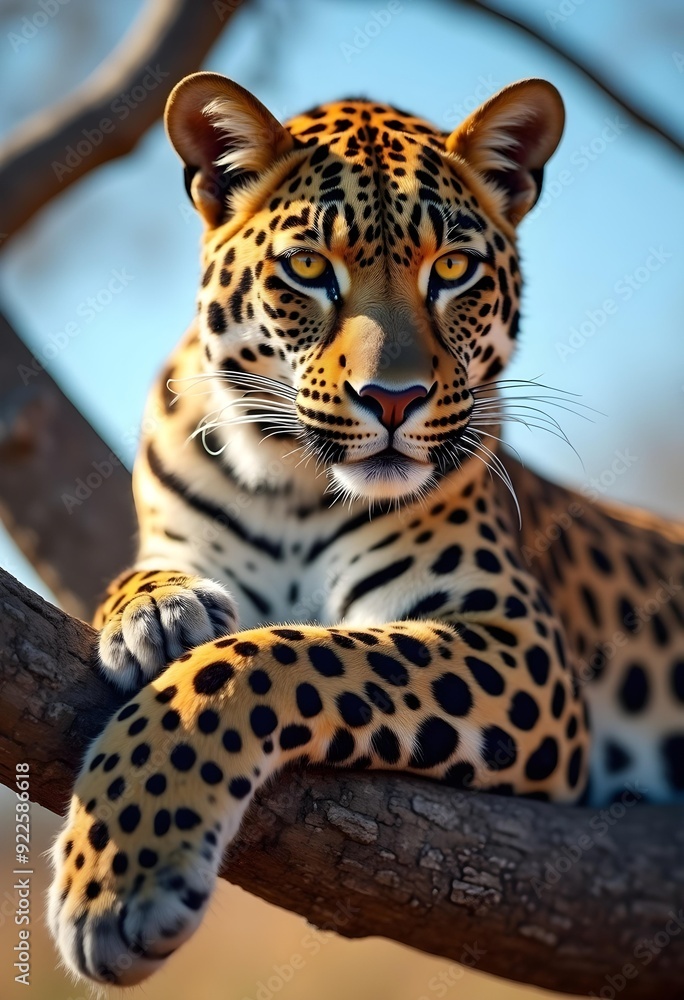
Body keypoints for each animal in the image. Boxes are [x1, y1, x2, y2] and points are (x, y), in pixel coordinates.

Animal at [48, 72, 684, 986]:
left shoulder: (520, 643)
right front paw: (161, 611)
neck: (288, 481)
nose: (393, 400)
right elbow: (147, 580)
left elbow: (276, 656)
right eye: (310, 268)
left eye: (452, 269)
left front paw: (118, 877)